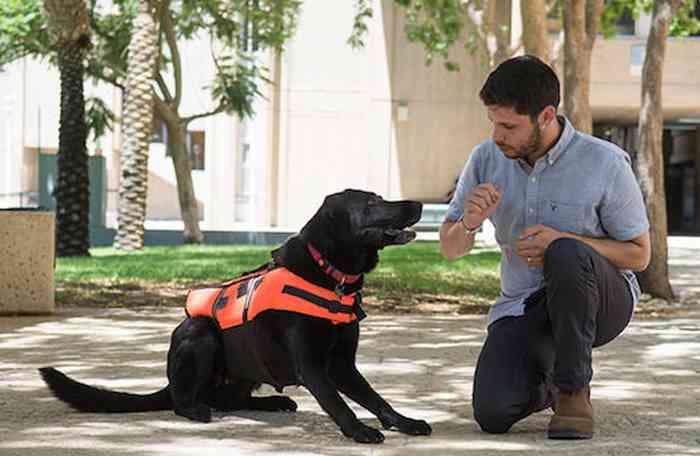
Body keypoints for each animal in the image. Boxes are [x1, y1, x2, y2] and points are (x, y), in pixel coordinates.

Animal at [39, 191, 432, 444]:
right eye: (371, 202)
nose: (420, 203)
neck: (330, 273)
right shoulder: (313, 366)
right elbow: (338, 403)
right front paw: (359, 431)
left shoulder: (342, 365)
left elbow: (375, 398)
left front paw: (404, 422)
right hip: (201, 333)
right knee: (186, 400)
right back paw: (196, 409)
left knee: (229, 399)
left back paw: (273, 402)